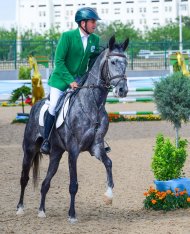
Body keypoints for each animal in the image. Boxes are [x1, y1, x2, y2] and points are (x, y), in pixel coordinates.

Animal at [16, 35, 129, 223]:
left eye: (126, 62)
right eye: (113, 62)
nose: (122, 90)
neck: (93, 103)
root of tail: (35, 105)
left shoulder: (96, 147)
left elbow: (109, 164)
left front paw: (108, 196)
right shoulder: (74, 151)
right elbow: (73, 184)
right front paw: (72, 215)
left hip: (56, 153)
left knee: (45, 183)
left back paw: (41, 211)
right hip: (30, 149)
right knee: (24, 177)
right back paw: (19, 208)